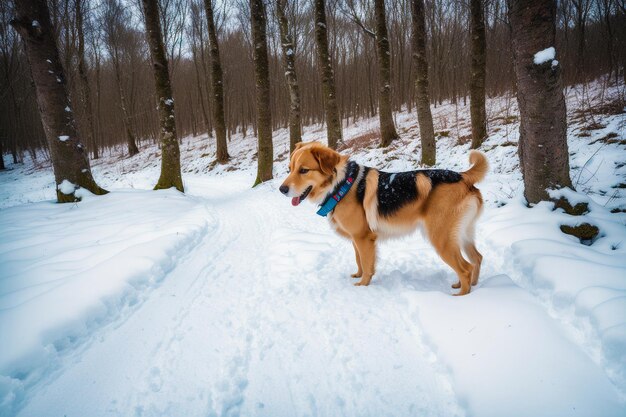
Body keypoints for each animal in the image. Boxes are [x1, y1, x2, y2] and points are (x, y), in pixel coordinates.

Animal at [278, 141, 488, 294]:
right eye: (289, 168)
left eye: (304, 170)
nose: (282, 189)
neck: (339, 185)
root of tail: (463, 176)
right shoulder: (357, 239)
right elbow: (360, 261)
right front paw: (359, 276)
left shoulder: (363, 238)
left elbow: (366, 263)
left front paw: (363, 286)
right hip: (462, 234)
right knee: (477, 259)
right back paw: (471, 285)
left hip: (441, 238)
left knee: (465, 268)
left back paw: (461, 296)